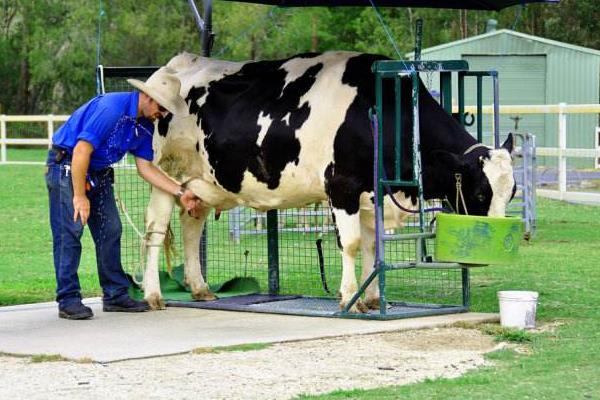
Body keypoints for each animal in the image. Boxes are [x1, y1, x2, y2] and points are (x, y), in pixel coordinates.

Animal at [142, 50, 516, 312]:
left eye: (511, 193)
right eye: (480, 193)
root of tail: (176, 64)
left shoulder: (373, 195)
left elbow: (373, 247)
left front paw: (372, 298)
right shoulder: (343, 186)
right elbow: (351, 244)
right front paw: (349, 297)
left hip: (202, 182)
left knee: (191, 227)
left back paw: (200, 288)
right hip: (164, 171)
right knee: (156, 229)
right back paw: (153, 295)